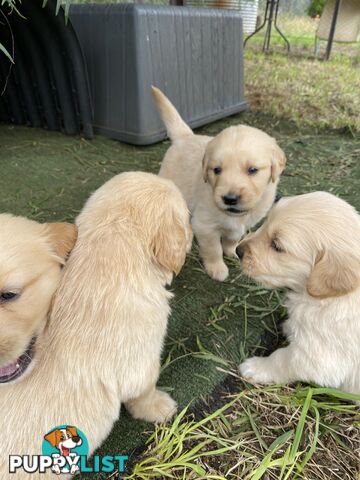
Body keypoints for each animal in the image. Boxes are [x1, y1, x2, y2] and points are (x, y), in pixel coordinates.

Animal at [152, 86, 286, 282]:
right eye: (216, 170)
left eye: (252, 170)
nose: (229, 199)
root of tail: (185, 136)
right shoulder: (205, 226)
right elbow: (213, 249)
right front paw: (217, 268)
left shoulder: (241, 226)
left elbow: (232, 239)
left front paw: (232, 252)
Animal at [236, 191, 360, 398]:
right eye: (265, 221)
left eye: (277, 245)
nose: (237, 250)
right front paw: (289, 328)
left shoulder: (318, 358)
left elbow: (280, 358)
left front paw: (254, 367)